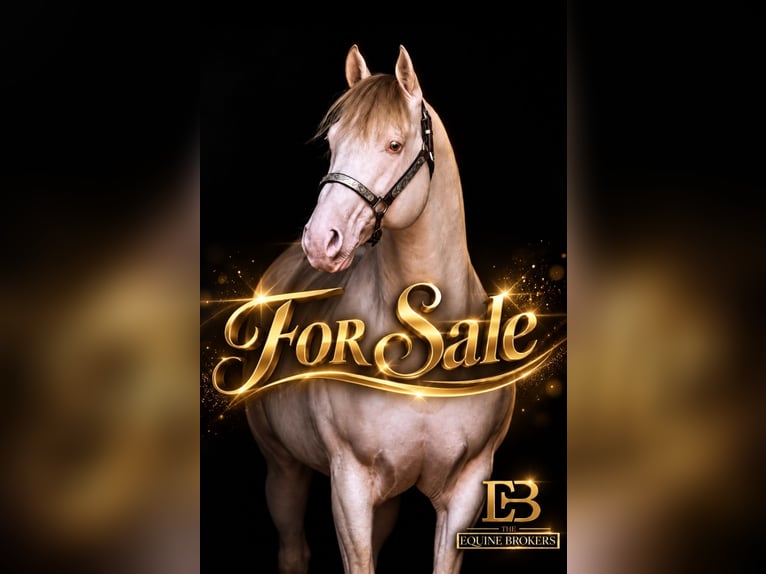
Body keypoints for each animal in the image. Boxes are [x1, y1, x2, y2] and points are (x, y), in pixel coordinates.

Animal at [243, 44, 516, 574]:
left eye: (393, 145)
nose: (320, 240)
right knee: (291, 546)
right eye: (332, 143)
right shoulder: (349, 485)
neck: (422, 340)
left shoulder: (467, 489)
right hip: (283, 469)